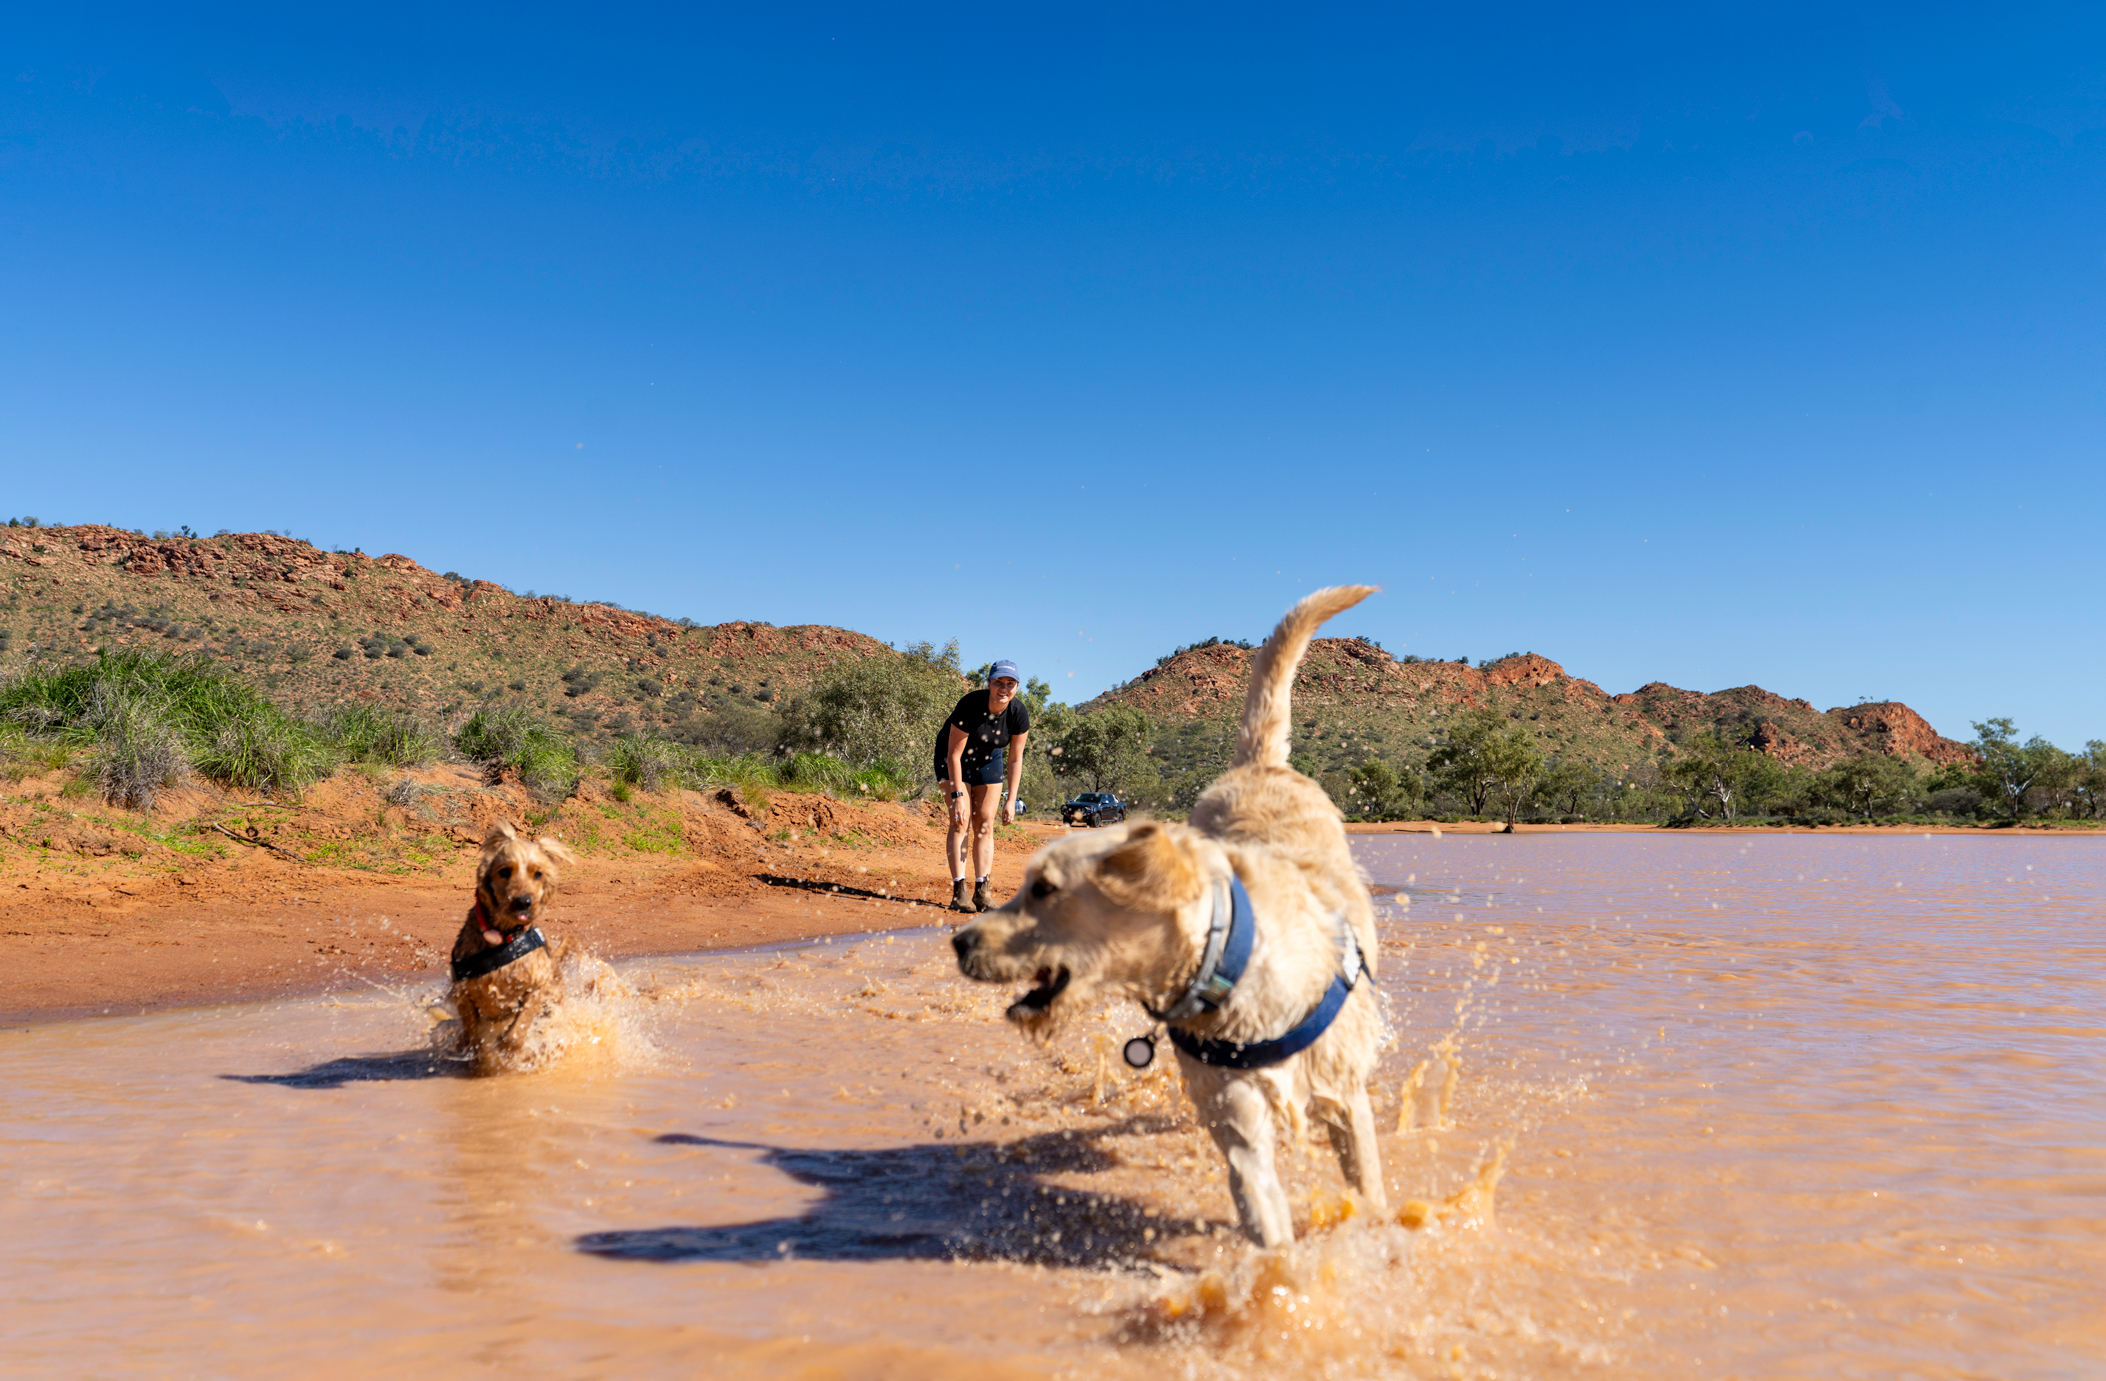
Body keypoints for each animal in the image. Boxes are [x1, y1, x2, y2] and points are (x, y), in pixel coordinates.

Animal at [446, 825, 572, 1073]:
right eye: (504, 871)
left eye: (538, 874)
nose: (523, 902)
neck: (503, 938)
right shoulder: (463, 994)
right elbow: (476, 1039)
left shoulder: (538, 985)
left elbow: (517, 1030)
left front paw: (508, 1051)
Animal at [951, 589, 1381, 1246]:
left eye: (1044, 888)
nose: (958, 942)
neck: (1230, 961)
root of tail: (1259, 767)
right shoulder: (1239, 1129)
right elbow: (1268, 1225)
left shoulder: (1346, 1100)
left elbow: (1371, 1197)